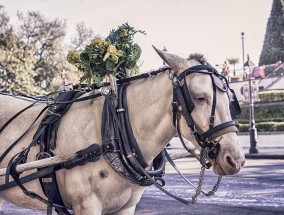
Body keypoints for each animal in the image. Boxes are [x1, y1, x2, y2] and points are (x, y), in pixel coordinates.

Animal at [0, 47, 244, 214]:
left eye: (230, 98)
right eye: (199, 97)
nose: (235, 159)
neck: (112, 133)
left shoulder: (126, 207)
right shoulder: (87, 206)